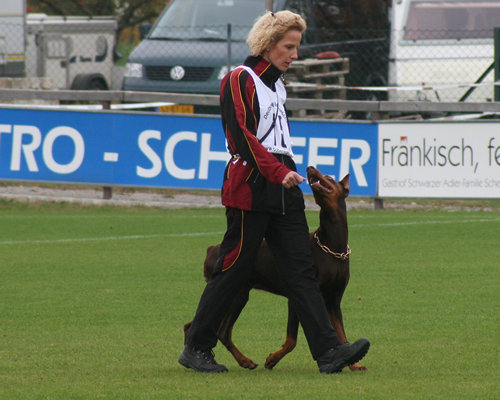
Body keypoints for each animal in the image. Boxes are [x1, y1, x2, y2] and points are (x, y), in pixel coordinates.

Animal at [183, 166, 364, 372]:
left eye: (329, 177)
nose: (310, 168)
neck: (332, 244)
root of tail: (212, 249)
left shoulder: (334, 300)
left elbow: (342, 334)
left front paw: (355, 363)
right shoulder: (297, 296)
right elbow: (292, 340)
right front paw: (272, 360)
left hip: (239, 295)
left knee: (217, 331)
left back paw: (242, 361)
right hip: (234, 294)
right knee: (203, 327)